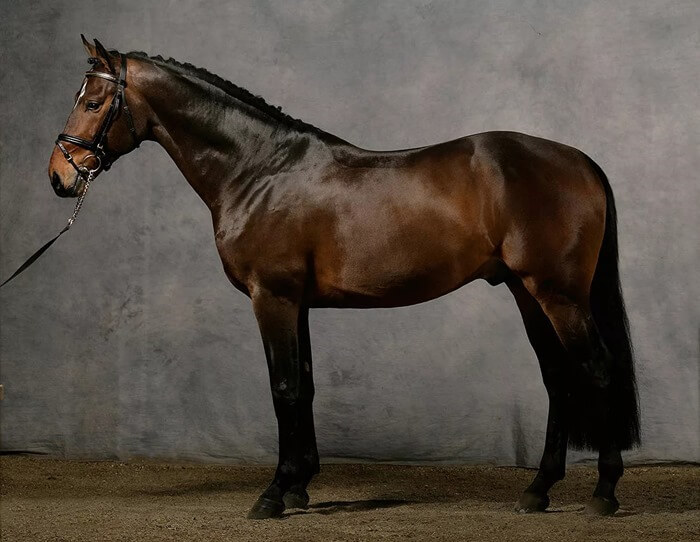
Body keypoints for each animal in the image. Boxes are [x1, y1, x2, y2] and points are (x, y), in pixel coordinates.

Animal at [48, 36, 640, 519]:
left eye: (94, 102)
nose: (59, 175)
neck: (258, 170)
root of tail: (579, 160)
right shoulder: (299, 304)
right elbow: (305, 385)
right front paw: (299, 487)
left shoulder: (273, 298)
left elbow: (284, 387)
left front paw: (273, 493)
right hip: (527, 292)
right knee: (559, 377)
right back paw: (538, 490)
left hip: (558, 294)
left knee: (598, 369)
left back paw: (604, 493)